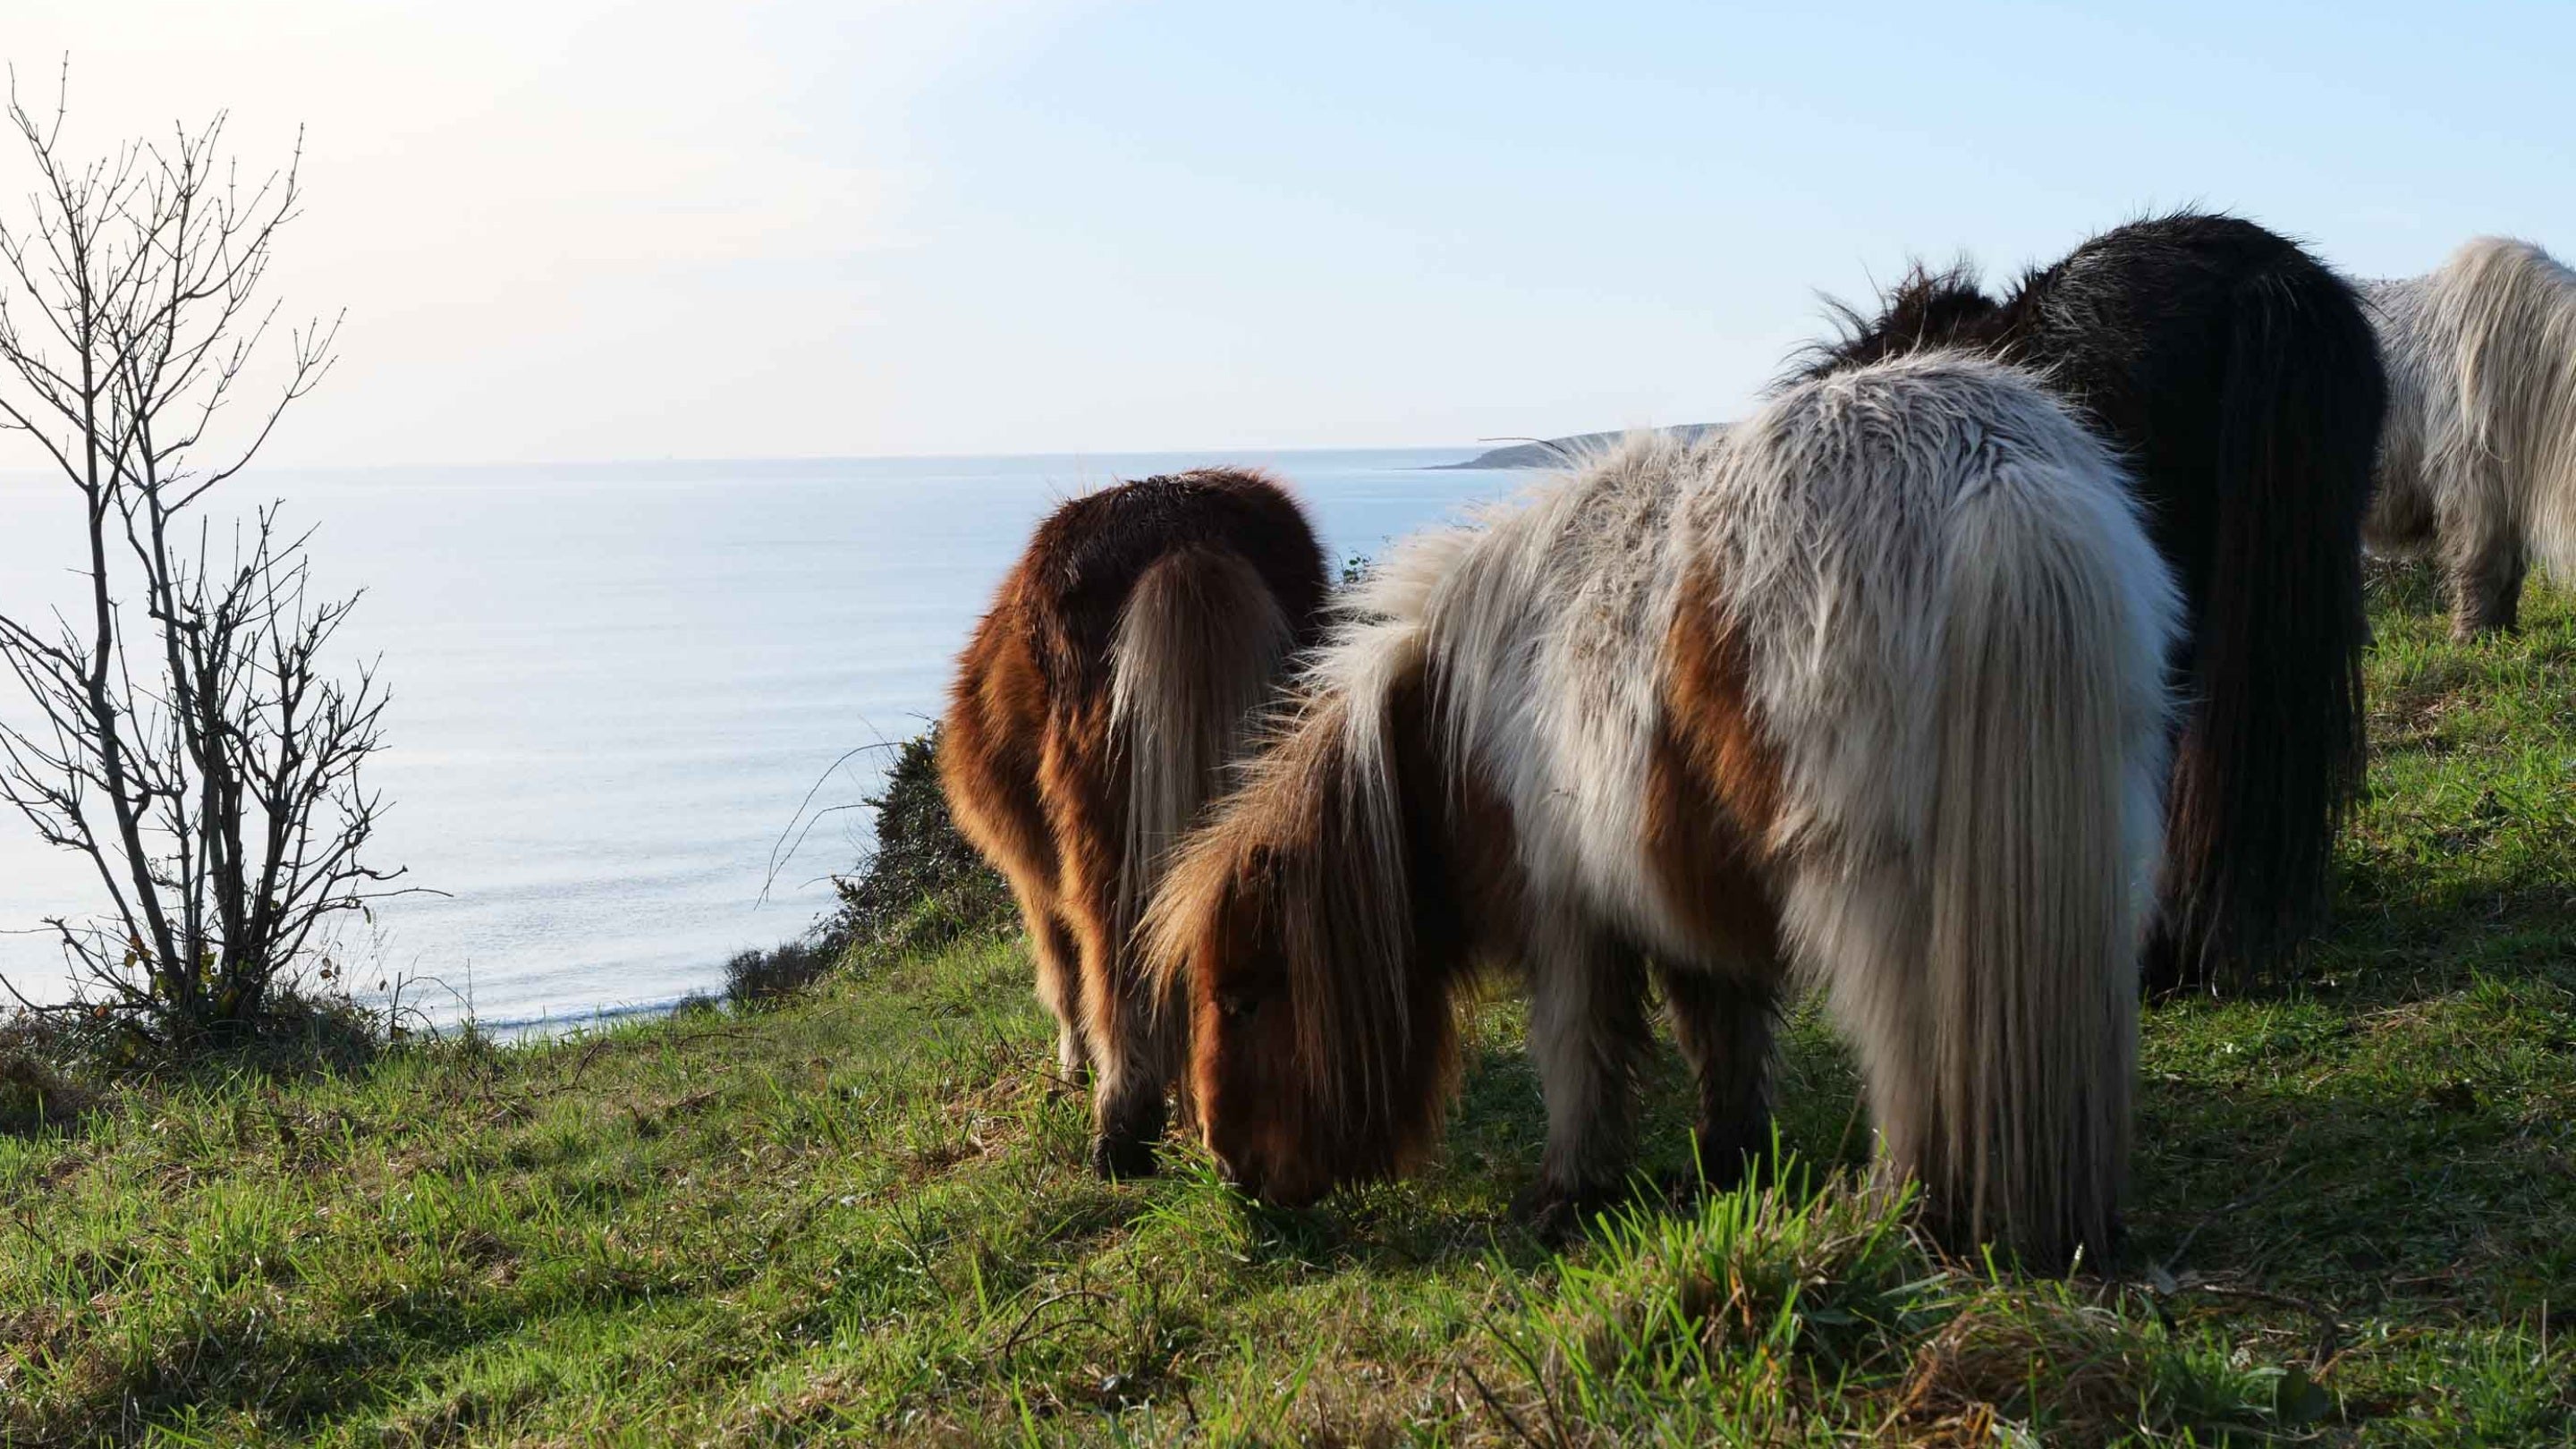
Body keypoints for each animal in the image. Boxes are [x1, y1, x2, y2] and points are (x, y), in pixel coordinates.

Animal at [940, 469, 1330, 1176]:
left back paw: (1125, 1125)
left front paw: (1073, 1066)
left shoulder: (1034, 884)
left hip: (1100, 827)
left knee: (1113, 947)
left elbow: (1061, 972)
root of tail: (1183, 531)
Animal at [1146, 354, 2181, 1269]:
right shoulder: (1689, 898)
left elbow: (1580, 1053)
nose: (1229, 1168)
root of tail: (1996, 475)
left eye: (1243, 999)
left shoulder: (1566, 916)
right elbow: (1722, 1040)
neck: (1444, 726)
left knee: (1906, 1052)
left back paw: (1896, 1212)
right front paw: (1727, 1164)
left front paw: (1569, 1193)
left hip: (1872, 892)